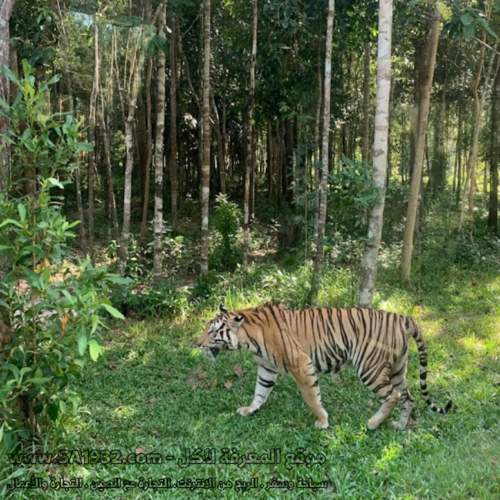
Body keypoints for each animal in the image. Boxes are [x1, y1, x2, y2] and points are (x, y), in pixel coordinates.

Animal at [196, 300, 454, 430]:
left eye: (213, 331)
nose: (196, 343)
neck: (248, 338)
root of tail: (403, 317)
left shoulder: (302, 365)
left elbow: (312, 397)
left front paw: (322, 421)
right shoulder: (266, 368)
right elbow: (260, 392)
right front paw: (250, 410)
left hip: (370, 368)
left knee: (394, 396)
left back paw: (373, 424)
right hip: (398, 369)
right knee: (408, 397)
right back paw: (399, 427)